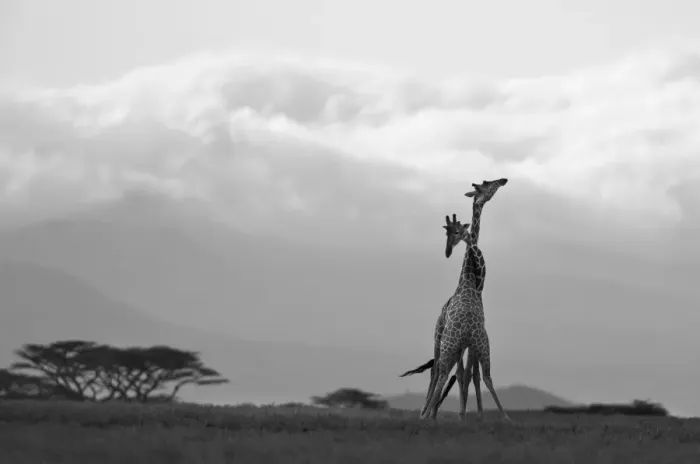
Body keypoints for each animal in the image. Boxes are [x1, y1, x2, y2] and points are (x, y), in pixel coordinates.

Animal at [400, 179, 508, 420]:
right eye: (487, 184)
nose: (503, 180)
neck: (470, 283)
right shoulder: (467, 342)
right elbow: (466, 374)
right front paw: (465, 414)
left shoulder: (470, 345)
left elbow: (467, 375)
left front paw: (468, 414)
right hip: (444, 339)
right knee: (440, 372)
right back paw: (428, 413)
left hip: (462, 344)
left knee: (456, 373)